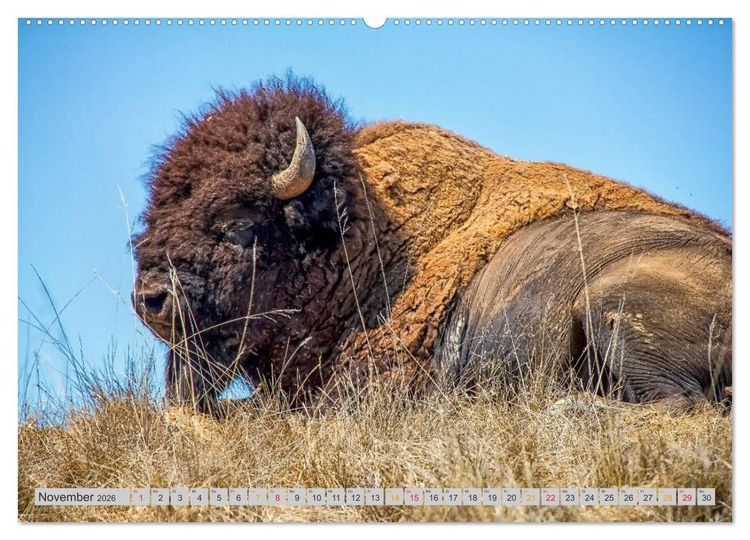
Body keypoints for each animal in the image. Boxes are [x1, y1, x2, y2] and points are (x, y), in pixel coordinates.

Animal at [132, 77, 731, 411]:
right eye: (155, 214)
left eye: (237, 224)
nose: (150, 298)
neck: (368, 243)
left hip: (609, 303)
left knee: (677, 403)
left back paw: (567, 409)